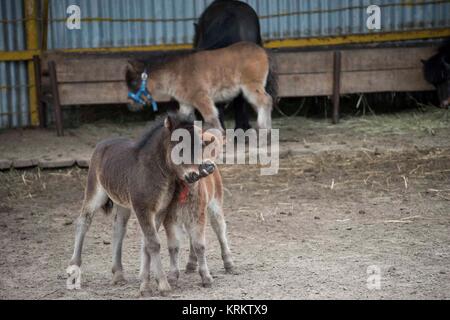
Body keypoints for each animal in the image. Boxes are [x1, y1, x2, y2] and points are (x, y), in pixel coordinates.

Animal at [68, 114, 234, 296]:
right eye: (179, 148)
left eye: (200, 147)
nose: (194, 175)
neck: (156, 172)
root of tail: (103, 142)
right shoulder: (143, 209)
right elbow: (153, 244)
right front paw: (162, 284)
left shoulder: (160, 210)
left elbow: (148, 244)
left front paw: (146, 284)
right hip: (95, 192)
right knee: (83, 221)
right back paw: (74, 268)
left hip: (123, 203)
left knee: (118, 229)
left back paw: (118, 274)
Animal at [125, 41, 276, 134]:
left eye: (133, 83)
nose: (130, 105)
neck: (175, 73)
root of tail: (263, 51)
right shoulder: (186, 103)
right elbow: (183, 117)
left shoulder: (200, 97)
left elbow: (211, 116)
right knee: (262, 103)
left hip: (251, 86)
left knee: (266, 100)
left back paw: (264, 129)